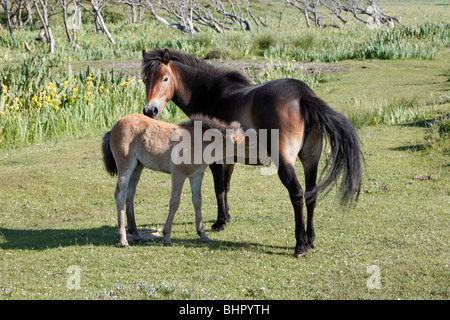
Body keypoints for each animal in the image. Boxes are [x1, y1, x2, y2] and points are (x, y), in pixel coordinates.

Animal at [141, 48, 362, 258]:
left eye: (165, 78)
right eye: (144, 79)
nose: (150, 111)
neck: (213, 95)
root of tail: (303, 95)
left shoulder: (214, 160)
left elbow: (219, 188)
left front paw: (219, 223)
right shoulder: (229, 159)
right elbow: (226, 187)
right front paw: (226, 217)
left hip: (285, 162)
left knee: (297, 193)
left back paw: (300, 244)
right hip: (310, 159)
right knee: (310, 194)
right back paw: (311, 239)